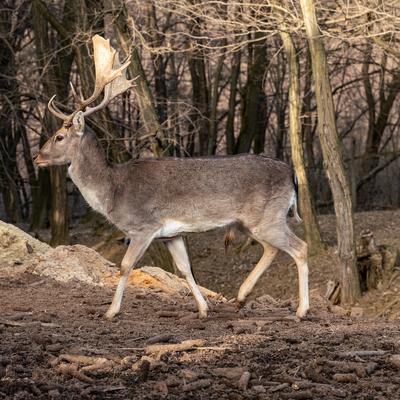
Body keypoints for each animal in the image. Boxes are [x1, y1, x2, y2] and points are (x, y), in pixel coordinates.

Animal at [35, 35, 310, 322]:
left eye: (59, 137)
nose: (37, 158)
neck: (113, 190)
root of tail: (291, 174)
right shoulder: (171, 235)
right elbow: (184, 268)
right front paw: (203, 309)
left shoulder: (144, 226)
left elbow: (125, 265)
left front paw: (111, 311)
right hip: (251, 222)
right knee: (272, 249)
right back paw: (242, 296)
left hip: (268, 217)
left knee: (300, 247)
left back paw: (301, 310)